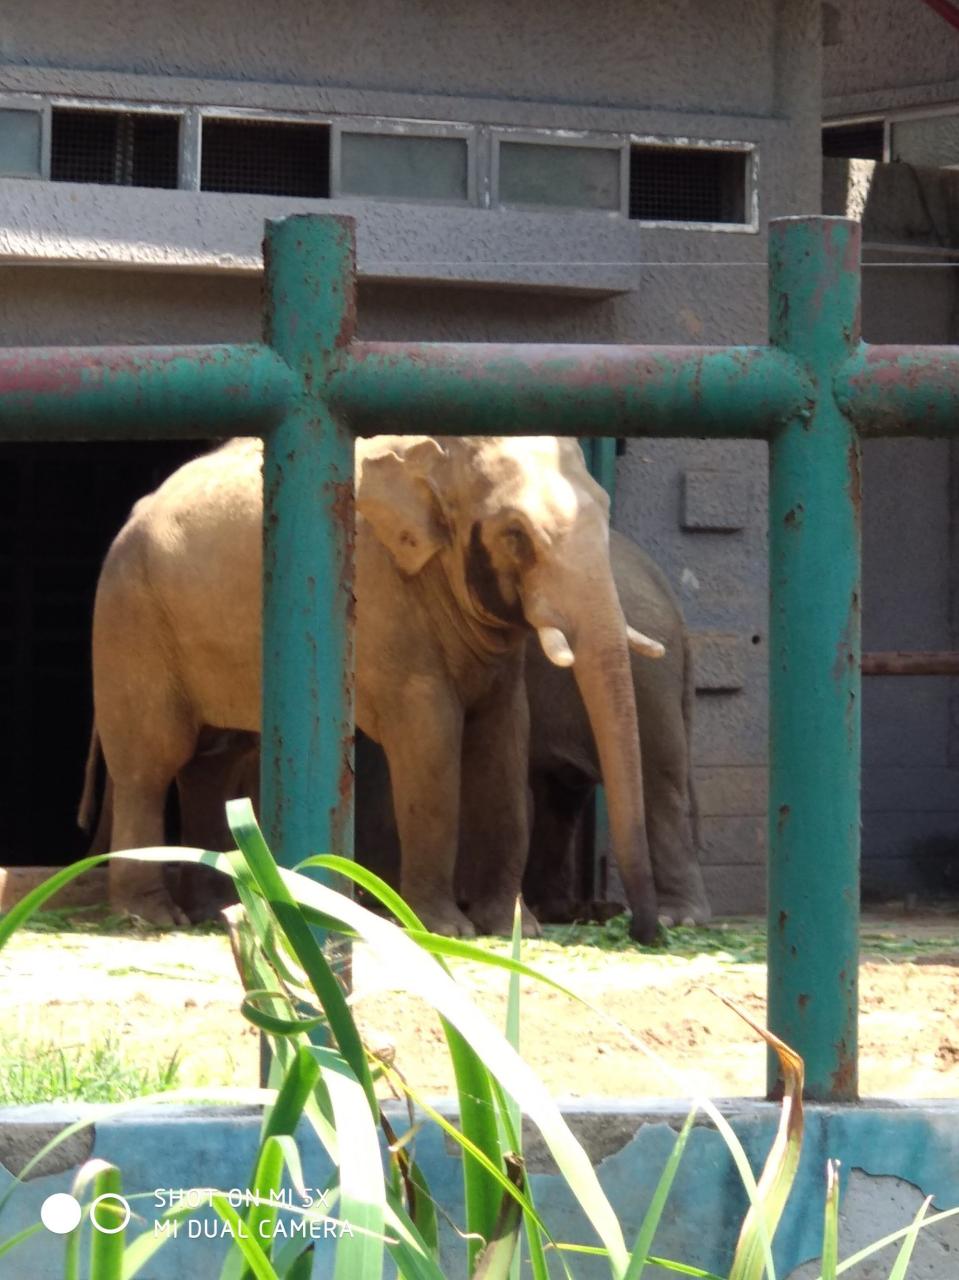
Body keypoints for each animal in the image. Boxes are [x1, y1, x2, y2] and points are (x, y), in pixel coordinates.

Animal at [85, 437, 660, 942]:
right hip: (130, 615)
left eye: (605, 512)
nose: (642, 932)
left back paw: (212, 912)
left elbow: (504, 743)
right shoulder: (382, 599)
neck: (439, 454)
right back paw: (152, 918)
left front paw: (513, 930)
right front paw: (445, 930)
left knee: (215, 761)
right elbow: (431, 741)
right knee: (151, 763)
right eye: (516, 535)